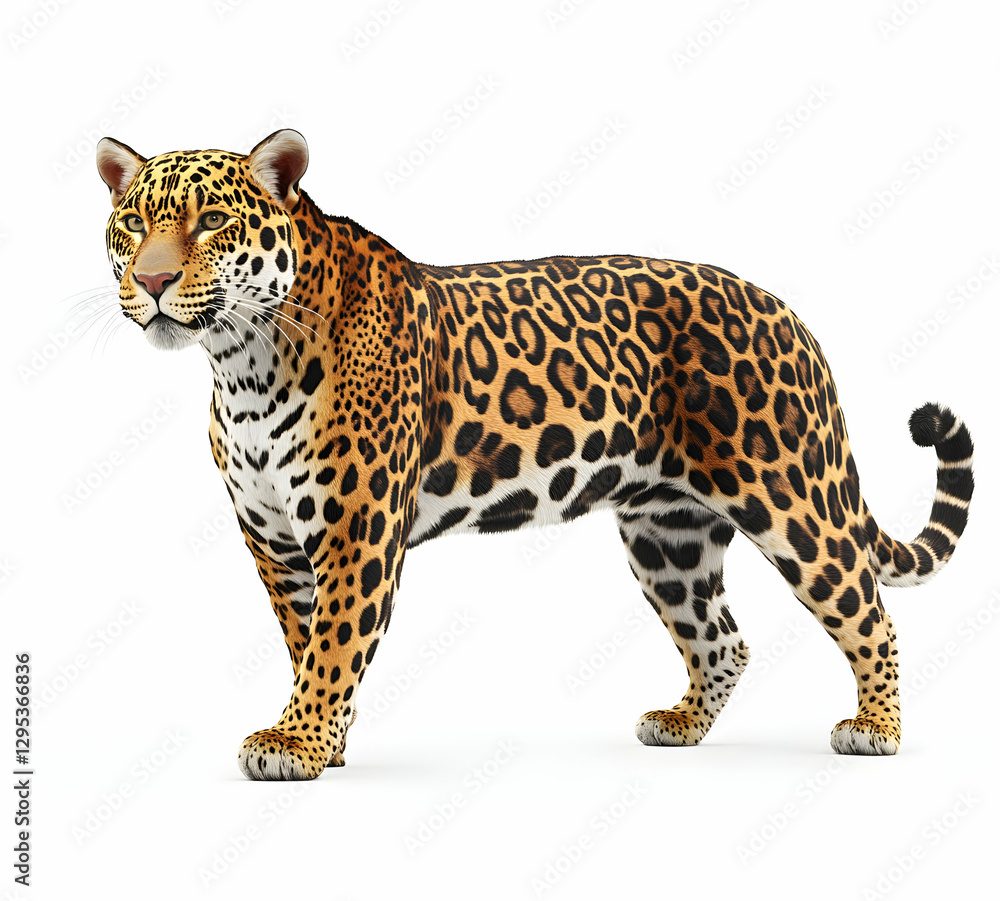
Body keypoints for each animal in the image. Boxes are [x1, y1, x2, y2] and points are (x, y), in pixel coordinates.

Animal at [95, 128, 974, 780]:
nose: (153, 280)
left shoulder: (355, 531)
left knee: (868, 610)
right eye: (133, 224)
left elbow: (335, 639)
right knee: (723, 637)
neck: (240, 361)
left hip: (790, 493)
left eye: (213, 221)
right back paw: (681, 724)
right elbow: (304, 637)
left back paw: (875, 729)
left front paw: (297, 742)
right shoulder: (273, 537)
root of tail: (789, 312)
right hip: (668, 532)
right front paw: (323, 738)